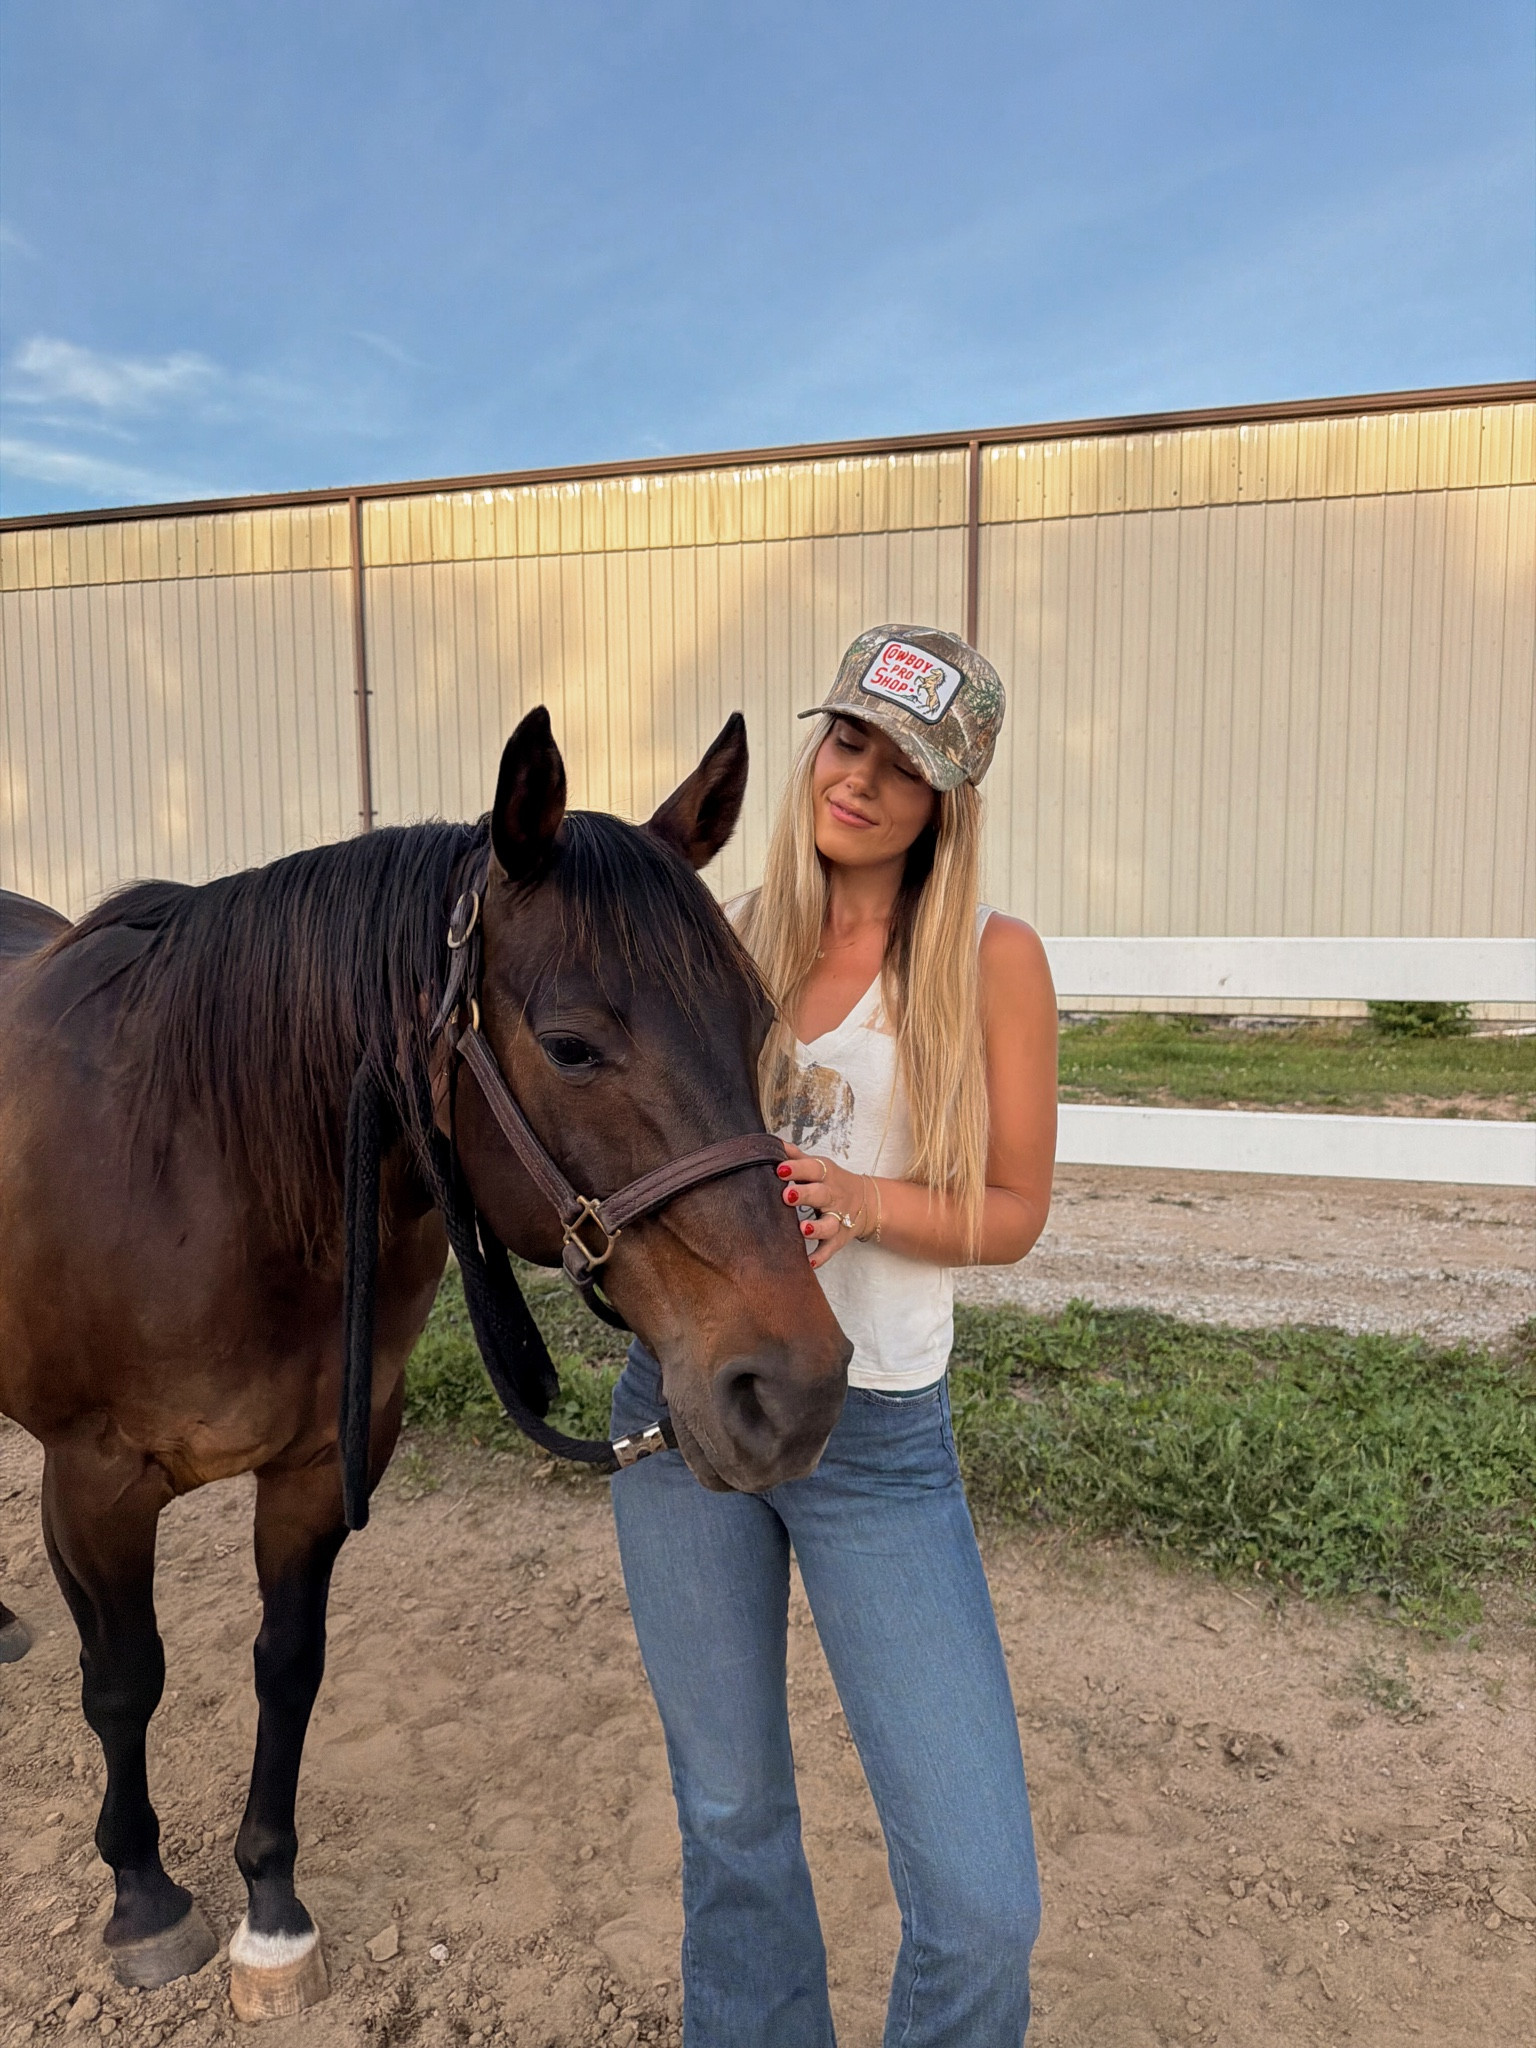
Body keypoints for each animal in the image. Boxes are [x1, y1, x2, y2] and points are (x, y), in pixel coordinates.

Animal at [0, 707, 851, 2020]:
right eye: (571, 1045)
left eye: (756, 1023)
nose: (793, 1386)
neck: (197, 1157)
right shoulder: (92, 1481)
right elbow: (124, 1679)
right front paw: (144, 1896)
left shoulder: (317, 1467)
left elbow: (287, 1666)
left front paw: (272, 1909)